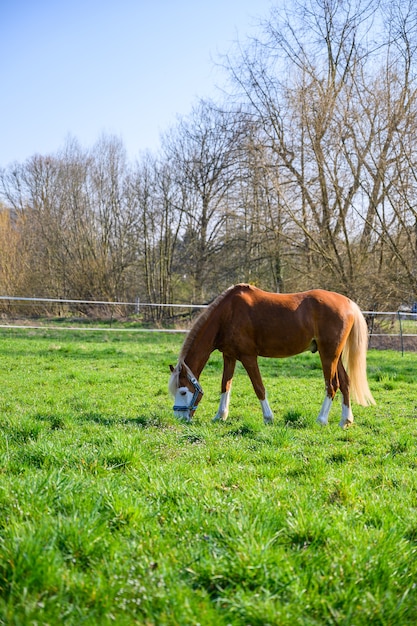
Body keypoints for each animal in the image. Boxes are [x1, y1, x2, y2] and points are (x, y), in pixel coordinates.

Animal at [167, 282, 376, 424]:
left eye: (183, 391)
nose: (179, 418)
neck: (227, 314)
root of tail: (348, 303)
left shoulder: (248, 357)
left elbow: (258, 387)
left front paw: (268, 417)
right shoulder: (229, 356)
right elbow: (225, 385)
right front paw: (220, 416)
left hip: (328, 355)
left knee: (332, 385)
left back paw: (321, 420)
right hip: (334, 355)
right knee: (345, 383)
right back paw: (345, 421)